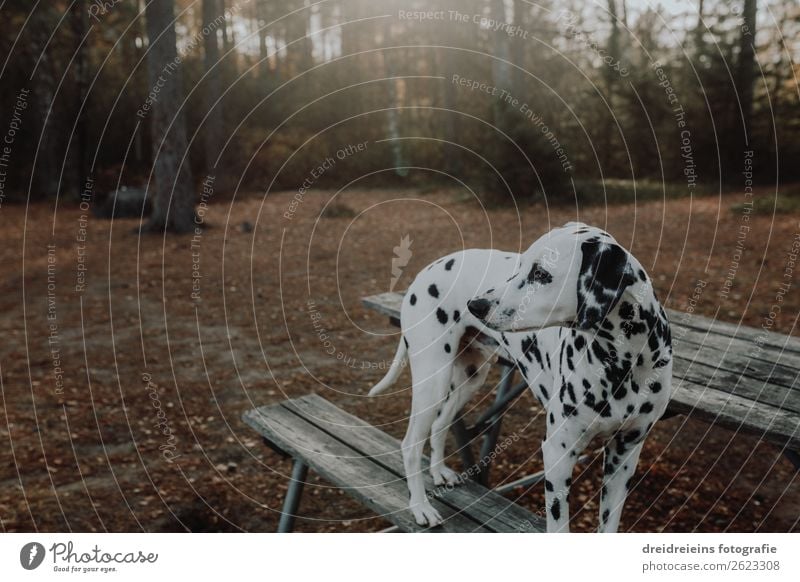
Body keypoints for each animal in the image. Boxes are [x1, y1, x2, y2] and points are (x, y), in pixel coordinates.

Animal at [368, 224, 668, 532]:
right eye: (520, 265)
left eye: (541, 274)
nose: (475, 305)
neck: (625, 362)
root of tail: (425, 271)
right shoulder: (558, 454)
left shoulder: (625, 456)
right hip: (433, 381)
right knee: (410, 446)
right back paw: (419, 507)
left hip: (470, 379)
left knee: (440, 424)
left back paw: (438, 471)